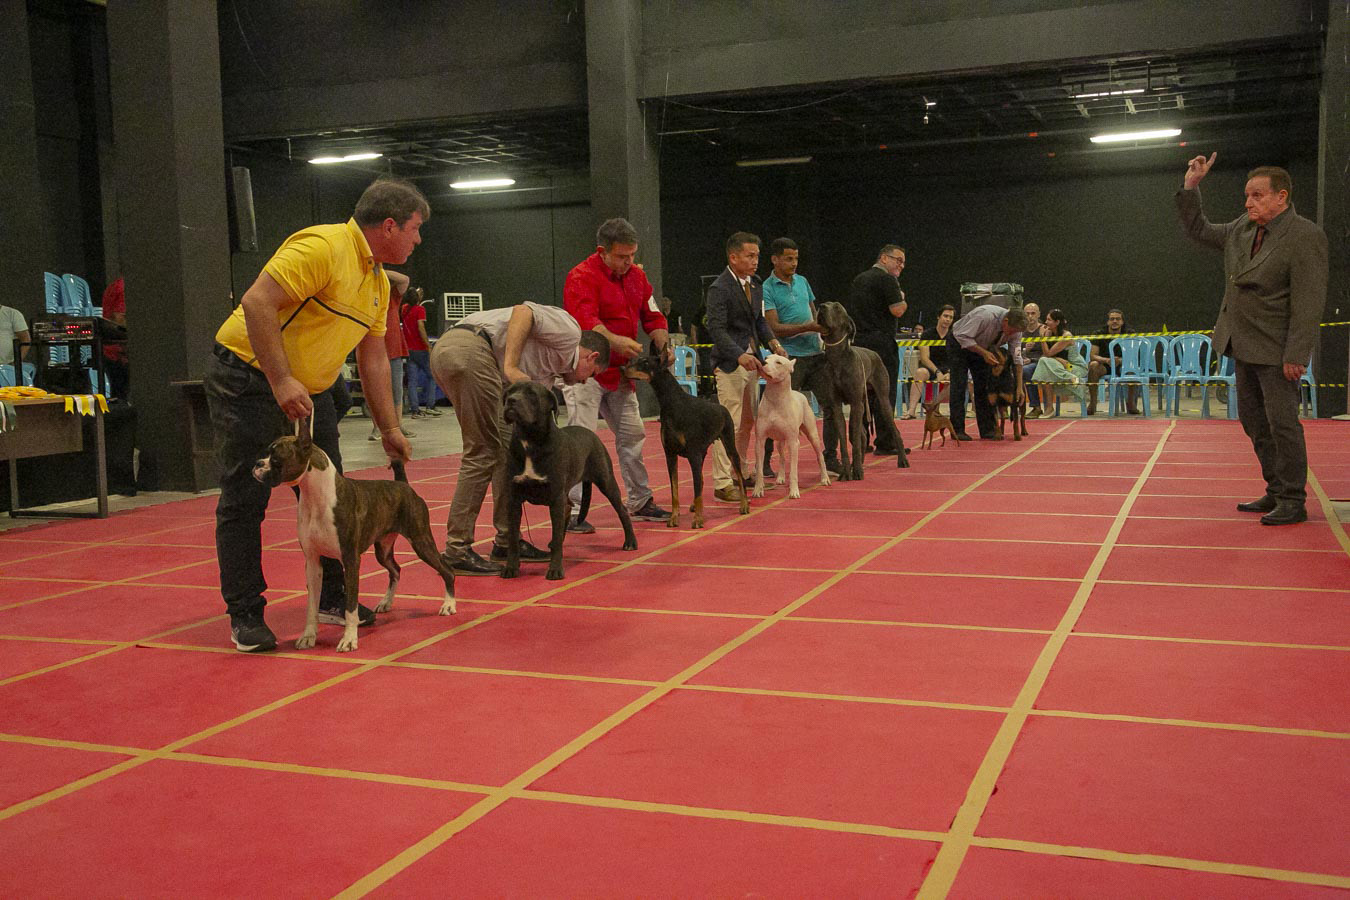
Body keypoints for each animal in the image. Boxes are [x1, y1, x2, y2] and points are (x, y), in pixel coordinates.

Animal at [252, 425, 456, 653]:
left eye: (276, 458)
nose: (258, 463)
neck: (317, 497)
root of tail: (403, 486)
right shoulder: (312, 563)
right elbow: (312, 606)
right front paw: (308, 636)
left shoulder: (350, 561)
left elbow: (351, 607)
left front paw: (349, 639)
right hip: (383, 550)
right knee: (395, 569)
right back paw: (386, 602)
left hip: (421, 541)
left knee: (446, 569)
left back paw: (448, 604)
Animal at [500, 380, 637, 580]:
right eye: (509, 391)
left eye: (532, 394)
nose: (511, 400)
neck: (530, 439)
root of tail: (591, 433)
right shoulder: (514, 499)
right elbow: (512, 538)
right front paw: (511, 567)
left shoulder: (555, 497)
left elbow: (557, 535)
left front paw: (555, 569)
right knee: (568, 509)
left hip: (606, 481)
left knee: (622, 510)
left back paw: (630, 542)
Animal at [621, 353, 750, 528]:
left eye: (646, 362)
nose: (622, 368)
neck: (673, 403)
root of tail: (722, 407)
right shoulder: (670, 454)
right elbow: (675, 490)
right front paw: (674, 517)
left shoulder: (693, 455)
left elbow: (696, 489)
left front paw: (698, 519)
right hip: (703, 452)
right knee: (701, 480)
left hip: (729, 444)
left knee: (738, 475)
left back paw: (744, 504)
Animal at [754, 355, 831, 499]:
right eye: (766, 357)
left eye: (778, 362)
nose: (763, 362)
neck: (775, 398)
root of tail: (799, 393)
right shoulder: (760, 441)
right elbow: (760, 469)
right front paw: (758, 489)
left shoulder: (792, 442)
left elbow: (794, 470)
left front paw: (794, 491)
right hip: (780, 441)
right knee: (782, 457)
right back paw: (780, 477)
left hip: (812, 435)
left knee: (820, 456)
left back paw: (825, 479)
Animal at [815, 301, 910, 480]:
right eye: (826, 304)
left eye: (837, 307)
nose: (821, 306)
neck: (838, 359)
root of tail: (874, 353)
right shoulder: (837, 406)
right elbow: (844, 443)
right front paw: (846, 472)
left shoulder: (856, 403)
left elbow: (856, 443)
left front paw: (857, 471)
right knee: (862, 434)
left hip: (881, 400)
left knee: (894, 431)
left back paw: (902, 460)